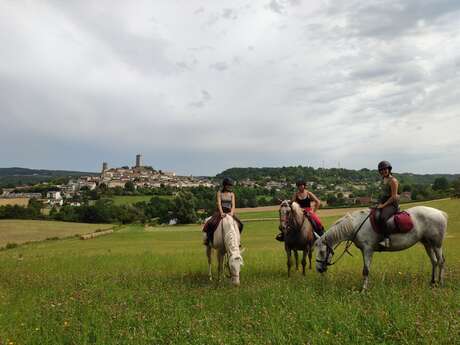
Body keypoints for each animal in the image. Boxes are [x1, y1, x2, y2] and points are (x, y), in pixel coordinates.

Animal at [314, 204, 448, 290]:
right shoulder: (365, 250)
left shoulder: (367, 249)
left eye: (322, 252)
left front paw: (363, 290)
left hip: (437, 244)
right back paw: (432, 282)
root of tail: (440, 213)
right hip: (427, 243)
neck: (355, 225)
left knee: (441, 261)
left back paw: (440, 283)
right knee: (434, 261)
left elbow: (366, 270)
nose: (319, 269)